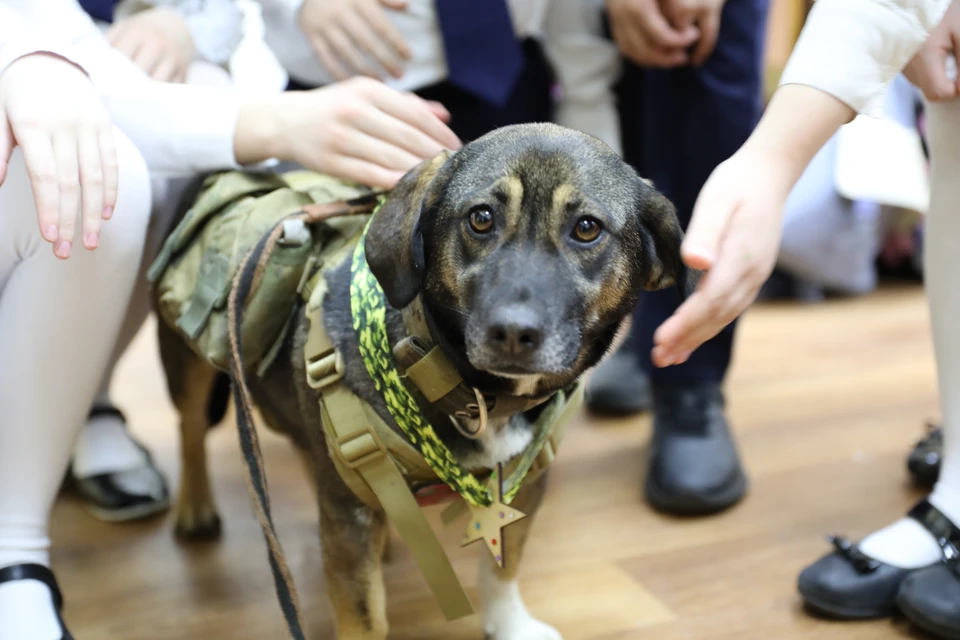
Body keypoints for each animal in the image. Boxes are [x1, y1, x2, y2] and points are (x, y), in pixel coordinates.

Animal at [159, 122, 696, 636]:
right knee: (190, 426)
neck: (472, 392)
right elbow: (364, 616)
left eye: (587, 228)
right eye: (481, 218)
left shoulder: (519, 486)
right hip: (185, 361)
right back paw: (195, 507)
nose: (513, 333)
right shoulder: (348, 519)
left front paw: (509, 624)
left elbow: (504, 567)